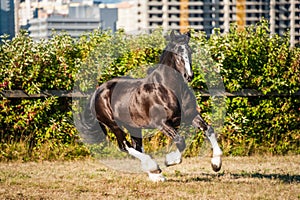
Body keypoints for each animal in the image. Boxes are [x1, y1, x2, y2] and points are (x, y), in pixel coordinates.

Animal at [81, 30, 221, 181]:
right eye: (177, 53)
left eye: (190, 51)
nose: (188, 76)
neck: (168, 89)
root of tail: (98, 91)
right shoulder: (162, 123)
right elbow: (180, 141)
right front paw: (169, 161)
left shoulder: (191, 116)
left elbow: (208, 129)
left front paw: (216, 164)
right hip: (114, 125)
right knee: (125, 146)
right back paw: (155, 168)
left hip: (133, 126)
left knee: (136, 146)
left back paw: (155, 174)